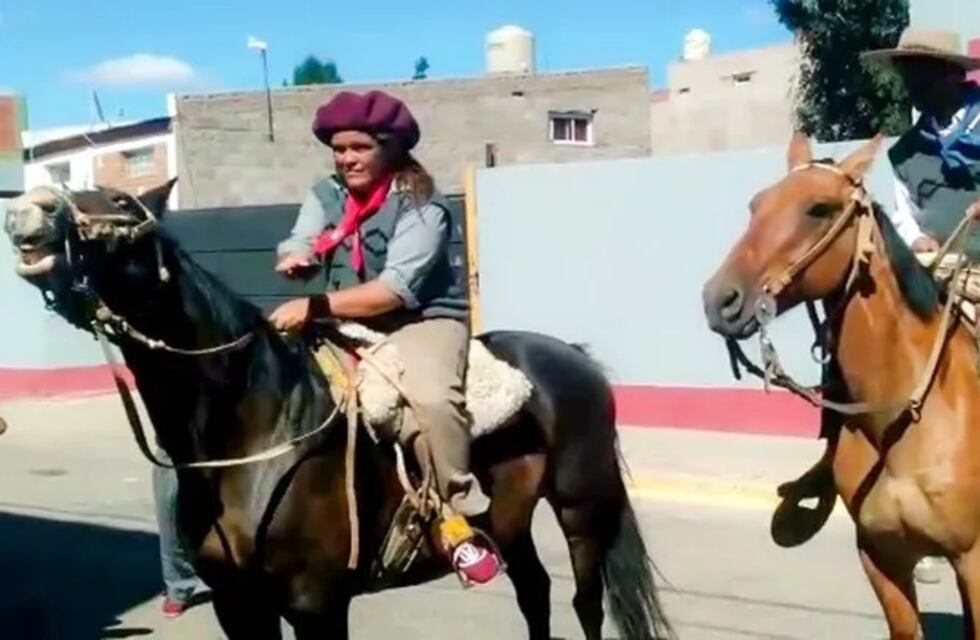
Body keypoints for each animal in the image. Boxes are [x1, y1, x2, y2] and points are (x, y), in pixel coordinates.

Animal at [3, 181, 674, 640]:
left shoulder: (315, 604)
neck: (252, 430)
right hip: (511, 522)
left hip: (582, 509)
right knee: (533, 591)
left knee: (585, 603)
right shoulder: (237, 604)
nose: (27, 210)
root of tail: (575, 357)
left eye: (119, 202)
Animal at [702, 132, 980, 639]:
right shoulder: (881, 557)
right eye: (756, 206)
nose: (720, 300)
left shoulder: (974, 561)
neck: (900, 422)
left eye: (819, 209)